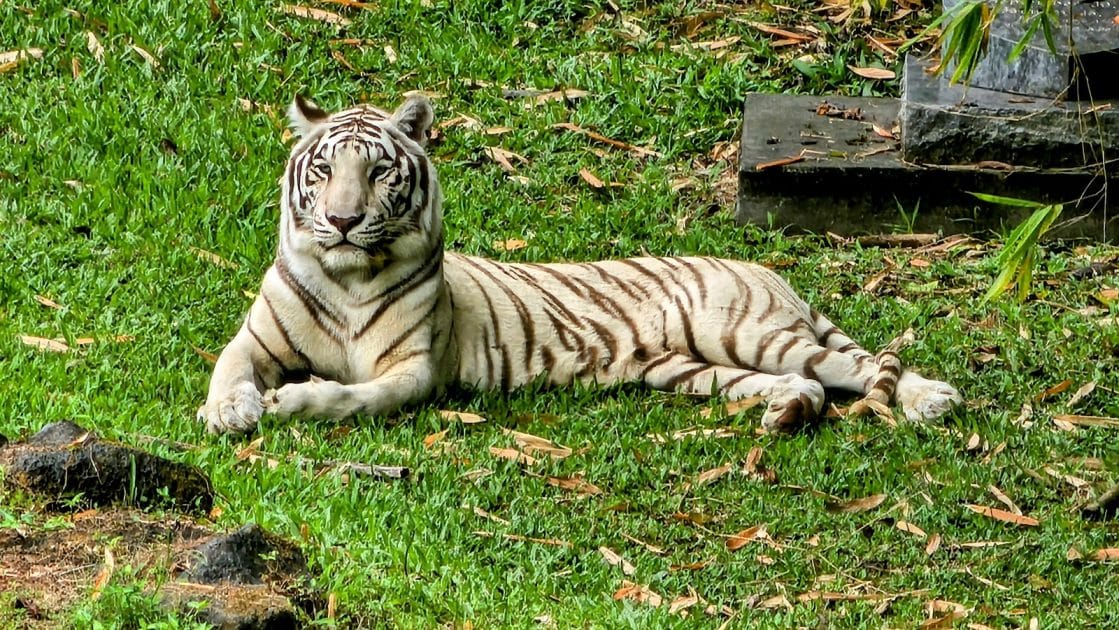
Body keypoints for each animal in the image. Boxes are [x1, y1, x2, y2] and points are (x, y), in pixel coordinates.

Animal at [197, 95, 962, 436]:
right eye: (324, 171)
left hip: (745, 331)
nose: (342, 221)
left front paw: (294, 401)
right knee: (802, 383)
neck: (347, 277)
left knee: (853, 367)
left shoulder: (413, 370)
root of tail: (769, 271)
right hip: (693, 368)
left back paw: (932, 399)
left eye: (379, 172)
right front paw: (229, 410)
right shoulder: (256, 338)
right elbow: (227, 367)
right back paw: (784, 412)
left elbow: (358, 396)